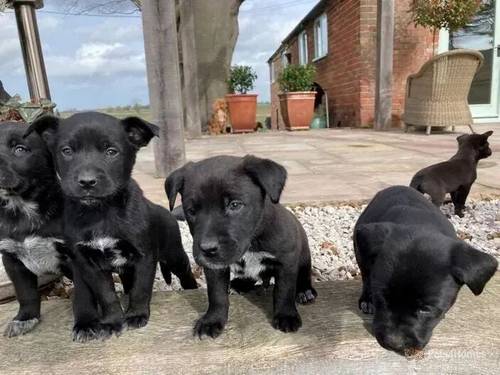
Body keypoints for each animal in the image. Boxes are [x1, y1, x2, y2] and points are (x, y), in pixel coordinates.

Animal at [25, 113, 197, 342]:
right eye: (67, 151)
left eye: (111, 151)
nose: (87, 182)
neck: (100, 212)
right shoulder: (89, 263)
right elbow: (106, 295)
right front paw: (112, 322)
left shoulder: (144, 256)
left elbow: (141, 289)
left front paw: (136, 315)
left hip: (174, 254)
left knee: (184, 271)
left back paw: (192, 289)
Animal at [167, 154, 316, 340]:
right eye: (191, 210)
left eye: (235, 205)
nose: (207, 249)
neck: (252, 242)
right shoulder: (215, 267)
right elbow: (216, 294)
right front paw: (212, 320)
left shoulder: (286, 260)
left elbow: (284, 290)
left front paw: (286, 316)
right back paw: (239, 284)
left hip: (303, 254)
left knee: (303, 273)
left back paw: (304, 291)